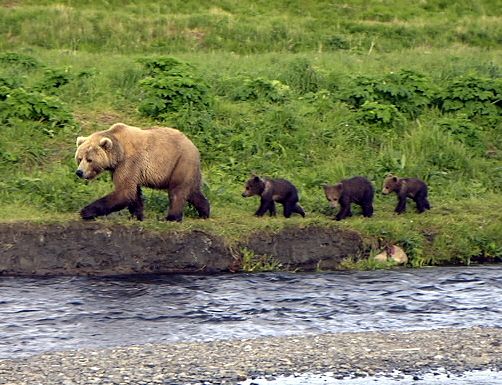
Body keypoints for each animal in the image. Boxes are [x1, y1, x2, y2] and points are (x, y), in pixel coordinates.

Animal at [73, 121, 209, 220]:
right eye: (79, 158)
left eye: (89, 159)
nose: (79, 172)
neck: (118, 152)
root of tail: (194, 147)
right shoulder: (122, 168)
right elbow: (133, 193)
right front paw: (137, 215)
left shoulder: (129, 162)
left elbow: (124, 191)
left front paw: (85, 211)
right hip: (188, 168)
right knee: (193, 191)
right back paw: (205, 212)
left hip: (180, 162)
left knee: (177, 191)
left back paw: (172, 217)